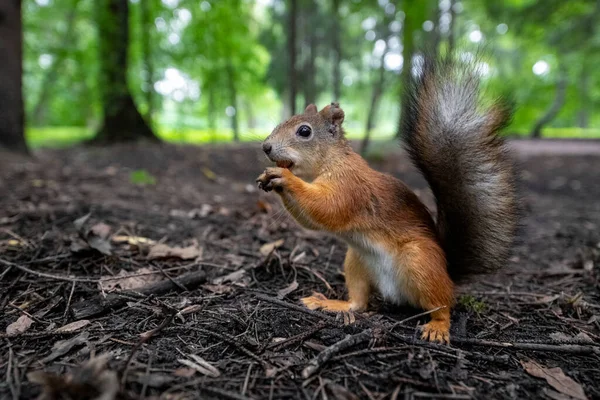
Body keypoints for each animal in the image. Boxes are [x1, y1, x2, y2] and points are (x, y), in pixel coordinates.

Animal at [255, 56, 516, 344]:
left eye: (304, 131)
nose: (266, 147)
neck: (331, 162)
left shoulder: (350, 187)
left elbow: (328, 209)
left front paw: (285, 178)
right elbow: (312, 219)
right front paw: (270, 178)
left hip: (421, 261)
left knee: (443, 303)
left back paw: (438, 326)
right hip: (356, 260)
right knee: (359, 302)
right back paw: (334, 304)